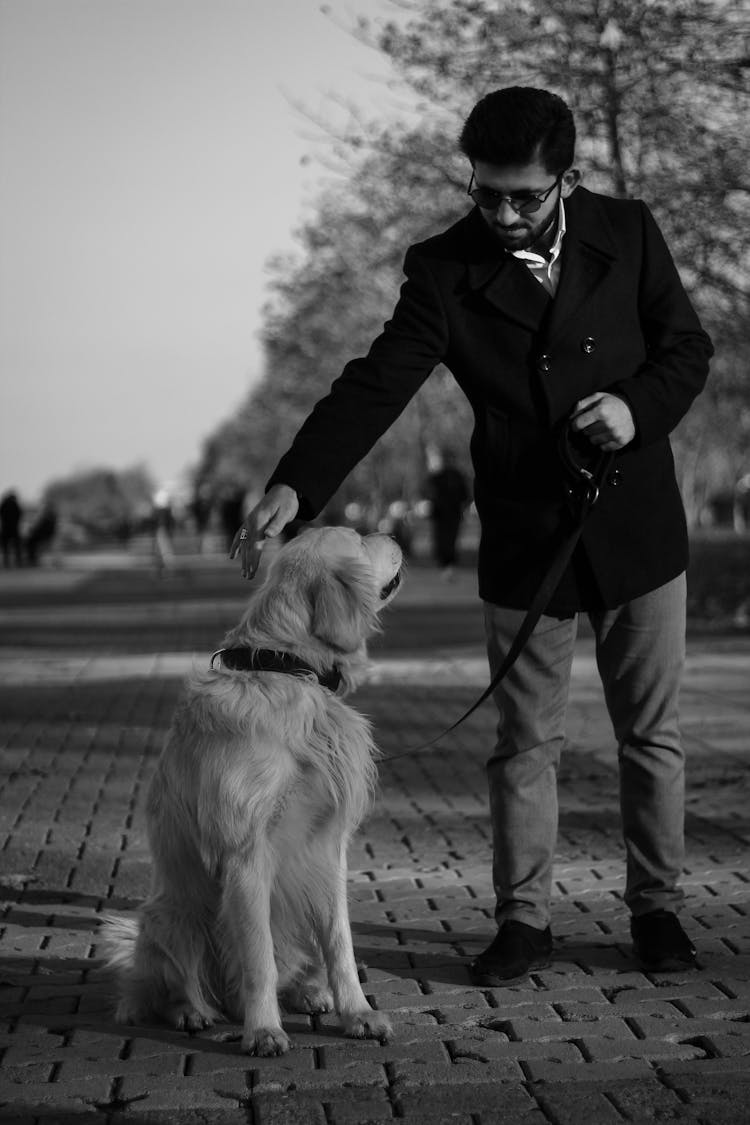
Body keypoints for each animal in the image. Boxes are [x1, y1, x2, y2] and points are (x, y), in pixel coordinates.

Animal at [104, 526, 404, 1053]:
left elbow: (341, 945)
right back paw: (193, 1013)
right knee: (174, 987)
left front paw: (358, 1013)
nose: (391, 531)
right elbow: (257, 959)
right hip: (176, 915)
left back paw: (309, 993)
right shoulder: (246, 852)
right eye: (359, 538)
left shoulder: (329, 849)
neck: (287, 667)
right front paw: (263, 1030)